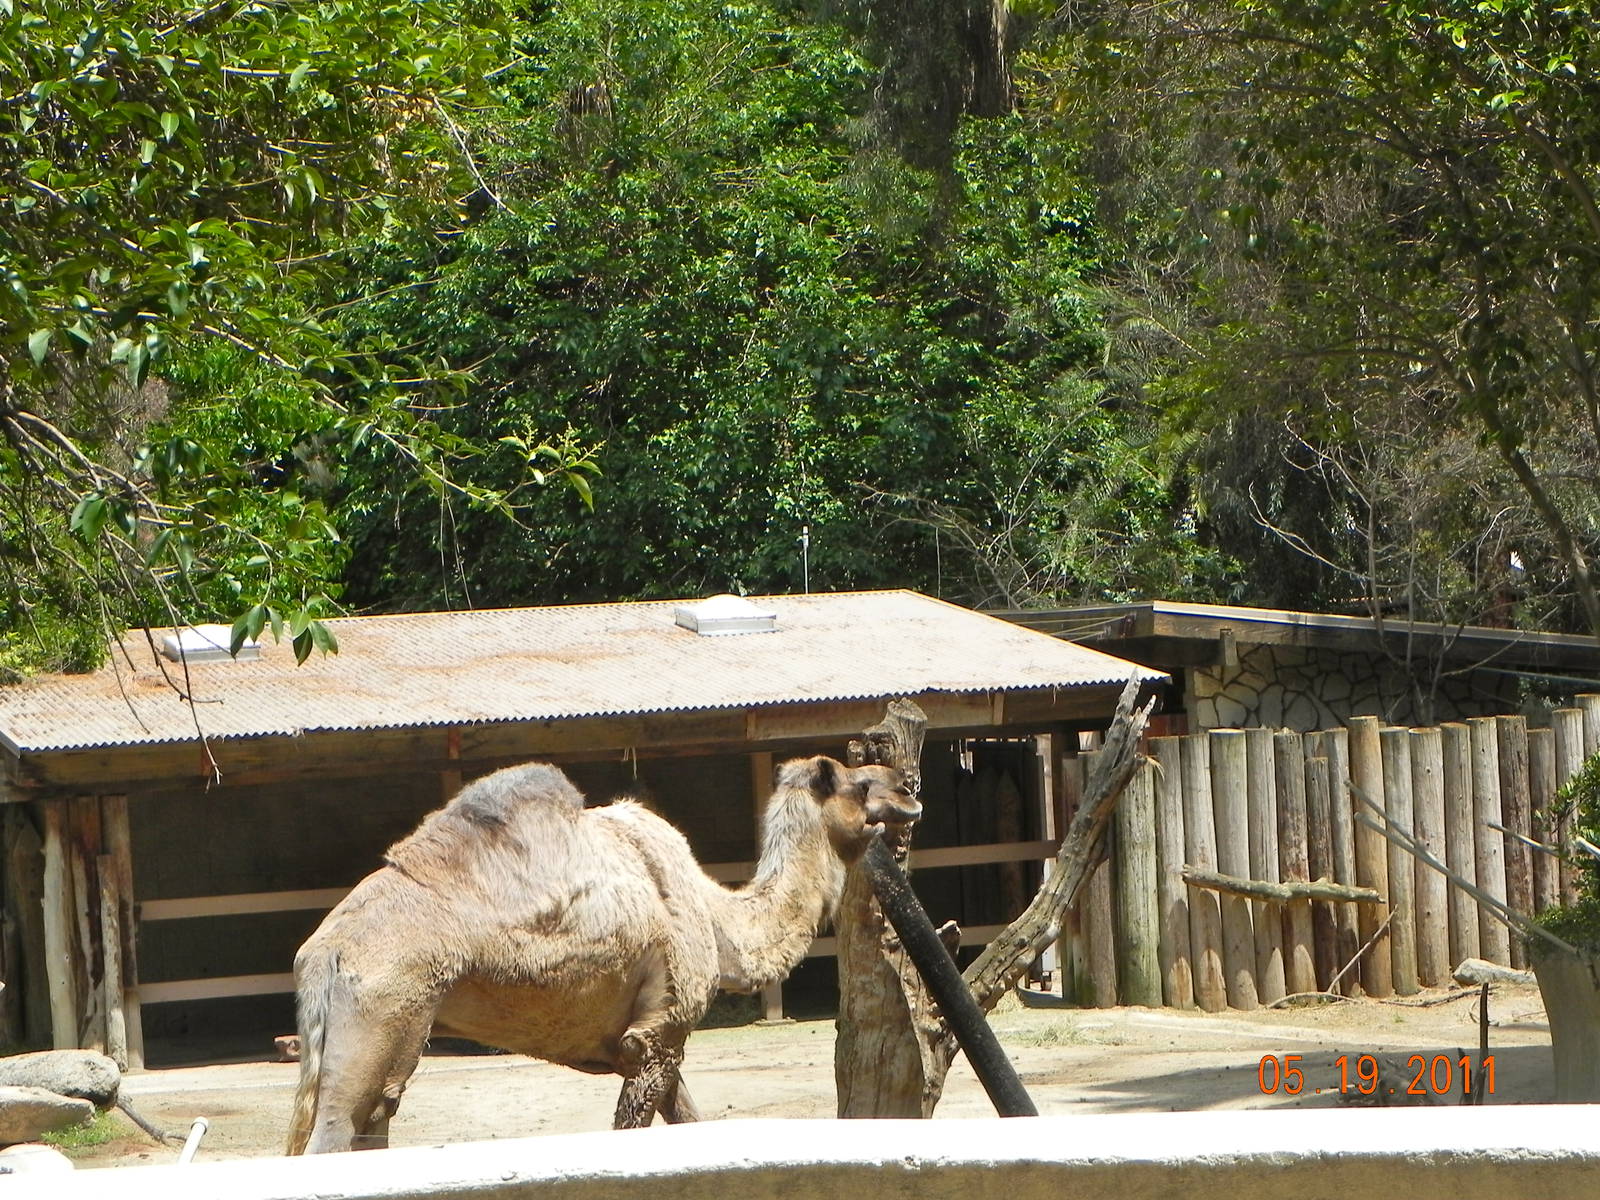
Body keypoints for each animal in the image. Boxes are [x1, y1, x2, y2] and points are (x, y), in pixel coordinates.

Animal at [285, 754, 920, 1153]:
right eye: (858, 783)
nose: (908, 787)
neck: (719, 923)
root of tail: (323, 952)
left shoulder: (646, 1044)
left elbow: (691, 1120)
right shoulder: (656, 1034)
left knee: (371, 1119)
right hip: (384, 1008)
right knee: (338, 1128)